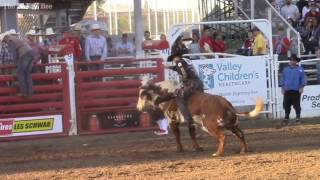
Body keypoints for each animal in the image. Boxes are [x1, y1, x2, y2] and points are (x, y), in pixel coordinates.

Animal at [136, 79, 264, 156]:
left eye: (141, 96)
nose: (138, 107)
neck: (168, 94)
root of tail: (225, 103)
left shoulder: (172, 121)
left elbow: (177, 135)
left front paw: (179, 149)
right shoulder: (191, 122)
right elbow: (192, 134)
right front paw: (197, 148)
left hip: (210, 126)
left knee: (222, 137)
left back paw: (217, 153)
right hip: (232, 124)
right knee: (241, 134)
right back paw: (243, 150)